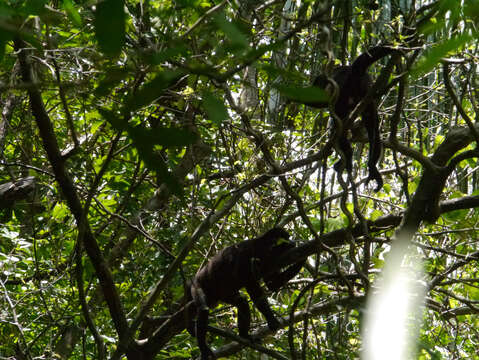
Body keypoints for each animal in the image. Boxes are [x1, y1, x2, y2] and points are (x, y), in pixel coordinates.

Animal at [188, 229, 304, 358]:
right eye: (286, 239)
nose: (293, 241)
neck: (262, 249)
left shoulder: (271, 261)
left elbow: (272, 284)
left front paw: (303, 258)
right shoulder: (246, 256)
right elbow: (250, 285)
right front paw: (271, 319)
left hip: (222, 294)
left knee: (241, 302)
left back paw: (244, 335)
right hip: (197, 285)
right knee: (203, 309)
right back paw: (203, 348)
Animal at [312, 45, 398, 191]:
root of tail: (353, 72)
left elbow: (318, 101)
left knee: (340, 128)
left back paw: (348, 155)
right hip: (366, 92)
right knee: (372, 127)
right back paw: (371, 166)